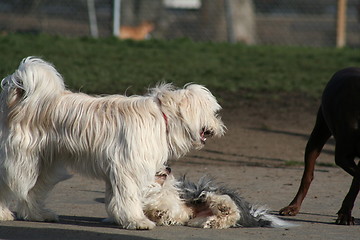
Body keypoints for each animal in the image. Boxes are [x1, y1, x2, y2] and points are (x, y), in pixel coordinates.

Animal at [0, 57, 225, 230]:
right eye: (211, 112)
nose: (219, 126)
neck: (162, 117)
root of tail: (22, 102)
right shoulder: (128, 169)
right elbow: (129, 197)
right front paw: (137, 221)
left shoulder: (116, 171)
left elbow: (116, 198)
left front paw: (119, 218)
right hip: (21, 161)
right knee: (8, 183)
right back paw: (4, 214)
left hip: (46, 165)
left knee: (32, 191)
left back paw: (37, 214)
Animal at [142, 168, 294, 228]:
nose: (168, 168)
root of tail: (251, 215)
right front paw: (158, 214)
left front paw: (158, 212)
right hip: (196, 218)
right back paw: (214, 222)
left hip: (205, 191)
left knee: (231, 209)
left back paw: (223, 207)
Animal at [282, 67, 360, 225]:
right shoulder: (343, 157)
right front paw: (345, 215)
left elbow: (356, 181)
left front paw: (345, 214)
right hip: (318, 133)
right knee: (308, 175)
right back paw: (293, 206)